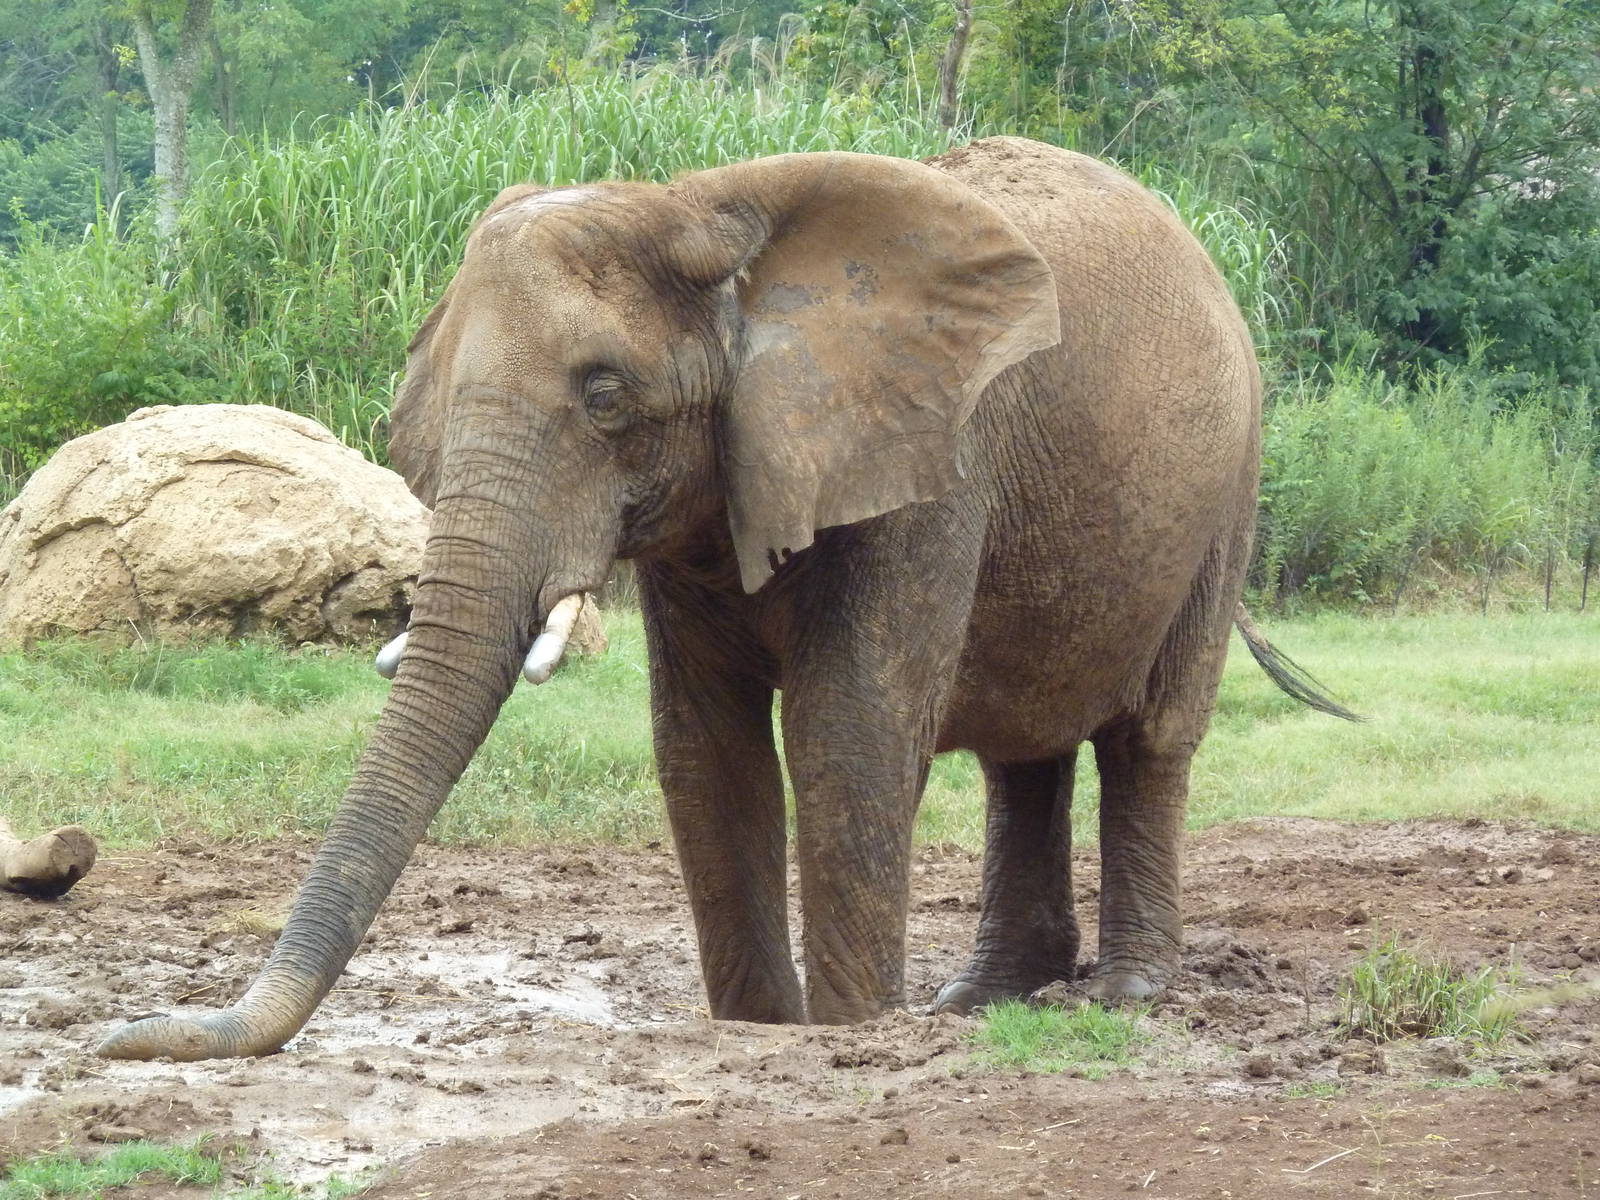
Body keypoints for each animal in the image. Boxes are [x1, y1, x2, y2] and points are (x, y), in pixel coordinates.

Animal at [98, 135, 1352, 1062]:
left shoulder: (922, 459)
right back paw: (978, 1001)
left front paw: (846, 1031)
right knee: (1022, 749)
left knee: (1151, 734)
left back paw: (1116, 997)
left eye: (604, 395)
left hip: (1227, 487)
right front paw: (761, 1025)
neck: (705, 207)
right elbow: (702, 743)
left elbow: (849, 726)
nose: (123, 1037)